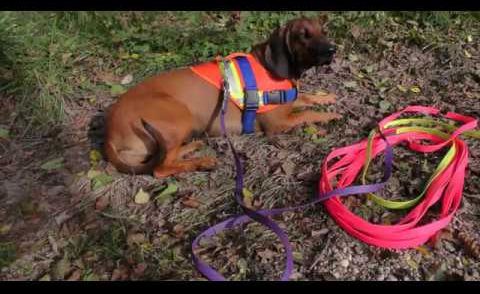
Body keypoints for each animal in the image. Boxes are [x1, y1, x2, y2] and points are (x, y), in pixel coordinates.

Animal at [104, 17, 340, 178]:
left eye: (323, 31)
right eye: (303, 35)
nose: (332, 49)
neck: (270, 65)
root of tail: (110, 135)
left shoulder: (289, 103)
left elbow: (306, 98)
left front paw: (326, 97)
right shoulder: (278, 122)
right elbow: (308, 113)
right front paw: (331, 116)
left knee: (166, 155)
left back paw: (193, 147)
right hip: (179, 115)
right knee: (160, 168)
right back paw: (202, 162)